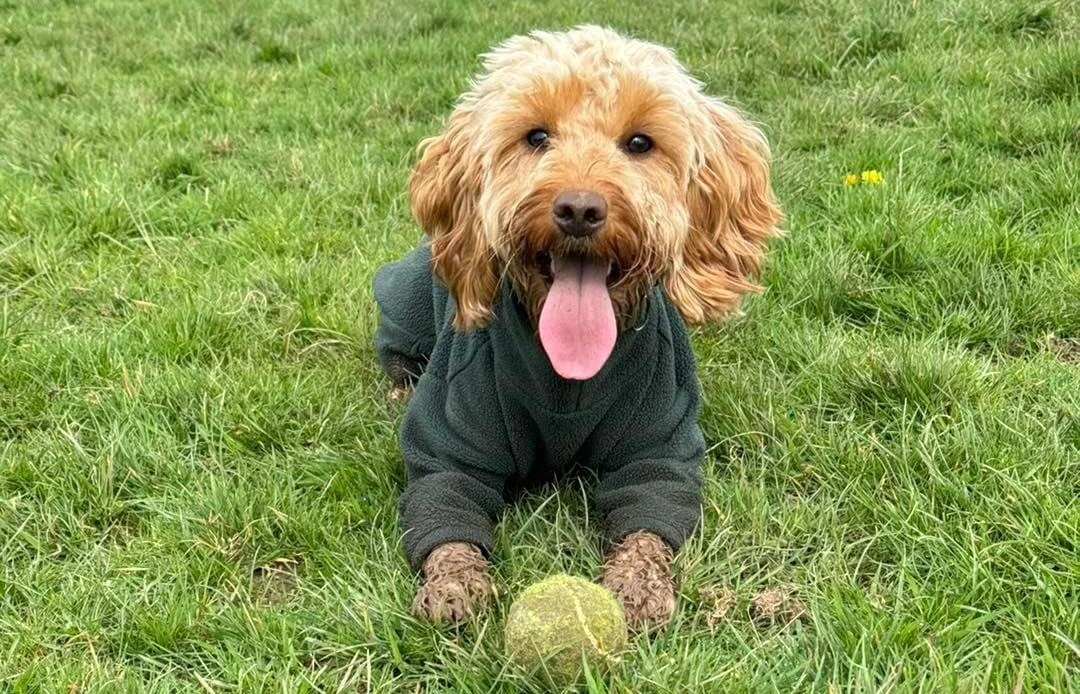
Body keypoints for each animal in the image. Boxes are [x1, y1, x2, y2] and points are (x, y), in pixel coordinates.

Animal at [375, 24, 781, 634]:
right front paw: (453, 585)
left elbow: (650, 518)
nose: (579, 210)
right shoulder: (449, 444)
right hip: (402, 299)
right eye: (536, 136)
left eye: (639, 143)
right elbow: (446, 509)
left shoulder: (660, 448)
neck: (568, 378)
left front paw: (637, 585)